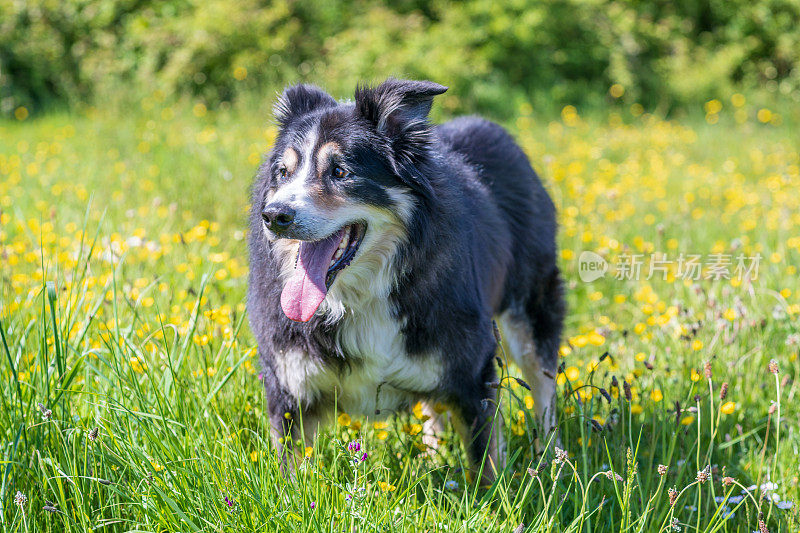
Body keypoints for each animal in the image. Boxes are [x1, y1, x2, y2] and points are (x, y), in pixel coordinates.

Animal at [247, 76, 564, 478]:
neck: (358, 297)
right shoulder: (289, 387)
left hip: (531, 306)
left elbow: (485, 462)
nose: (274, 215)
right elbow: (290, 473)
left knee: (543, 390)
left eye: (340, 171)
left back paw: (552, 463)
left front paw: (493, 494)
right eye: (283, 173)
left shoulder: (473, 370)